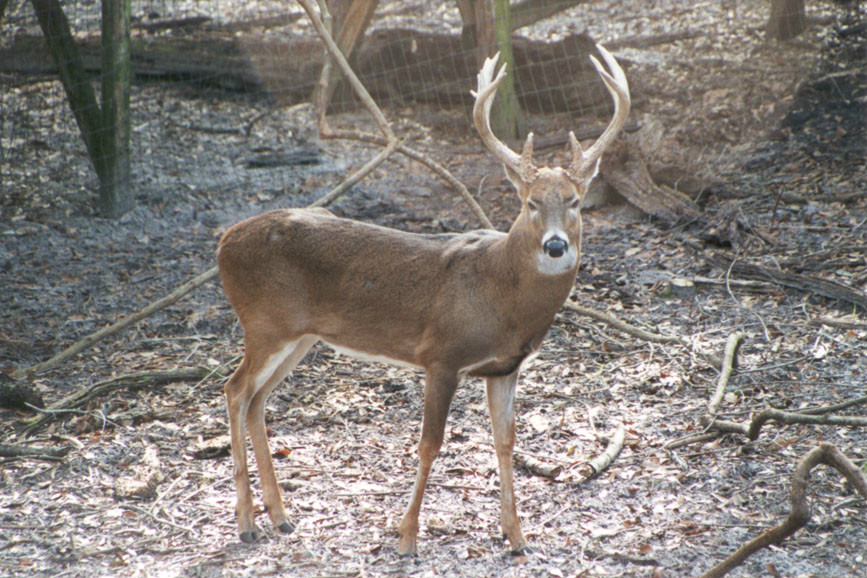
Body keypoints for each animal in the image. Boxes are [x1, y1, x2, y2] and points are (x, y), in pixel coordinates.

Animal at [217, 46, 632, 552]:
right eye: (530, 202)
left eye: (574, 201)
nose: (555, 245)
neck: (504, 297)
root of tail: (223, 243)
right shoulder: (442, 354)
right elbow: (430, 443)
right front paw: (407, 535)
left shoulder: (504, 368)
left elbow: (505, 441)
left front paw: (516, 535)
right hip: (263, 323)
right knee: (235, 390)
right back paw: (247, 523)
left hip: (299, 336)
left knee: (257, 399)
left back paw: (280, 517)